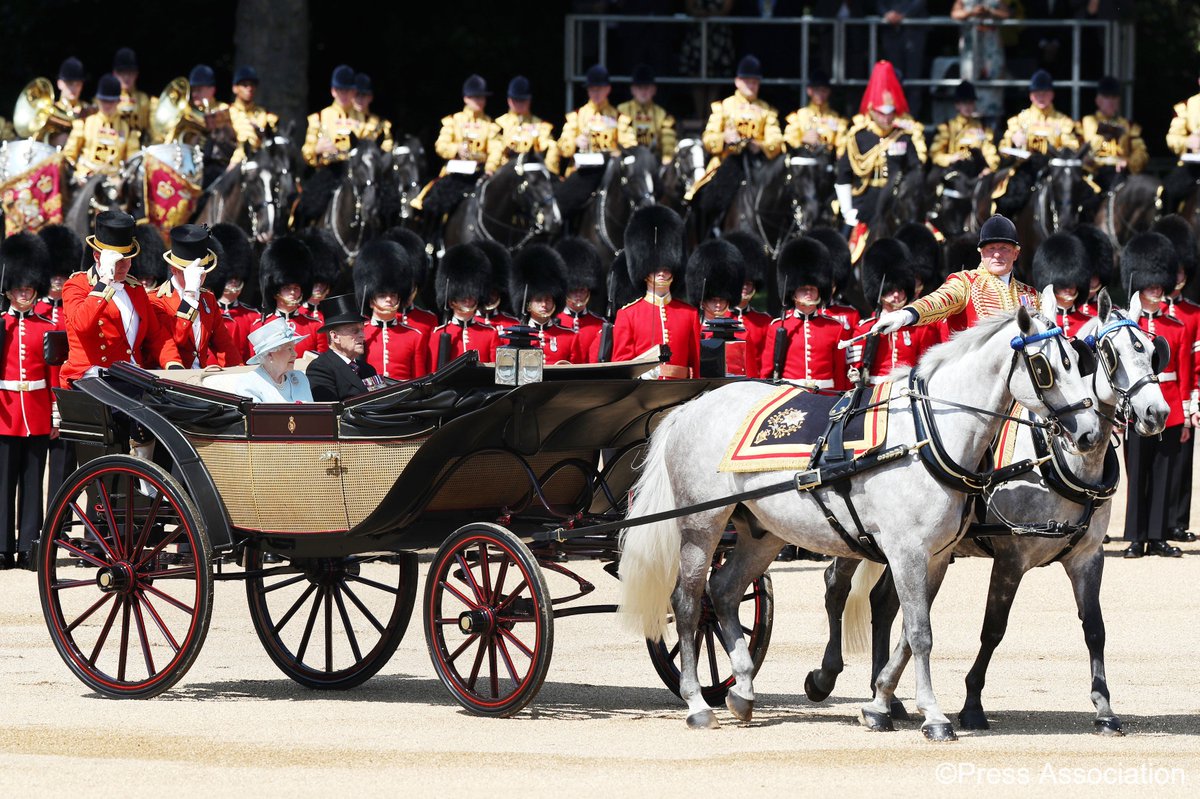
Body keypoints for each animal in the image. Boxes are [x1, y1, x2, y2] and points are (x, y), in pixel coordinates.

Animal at [618, 288, 1104, 739]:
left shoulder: (936, 556)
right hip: (702, 524)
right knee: (687, 602)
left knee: (724, 592)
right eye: (1044, 366)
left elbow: (908, 631)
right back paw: (698, 702)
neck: (927, 435)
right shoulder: (913, 553)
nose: (1089, 434)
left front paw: (881, 703)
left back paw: (743, 689)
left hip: (762, 533)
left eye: (1080, 362)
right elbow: (920, 632)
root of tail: (692, 405)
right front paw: (932, 716)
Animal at [803, 290, 1170, 737]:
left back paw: (887, 699)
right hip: (853, 536)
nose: (1157, 413)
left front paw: (1104, 709)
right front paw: (972, 704)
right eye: (1109, 353)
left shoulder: (1087, 557)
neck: (1062, 460)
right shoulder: (1011, 559)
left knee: (884, 604)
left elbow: (1095, 630)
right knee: (836, 588)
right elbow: (993, 629)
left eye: (1152, 350)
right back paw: (825, 677)